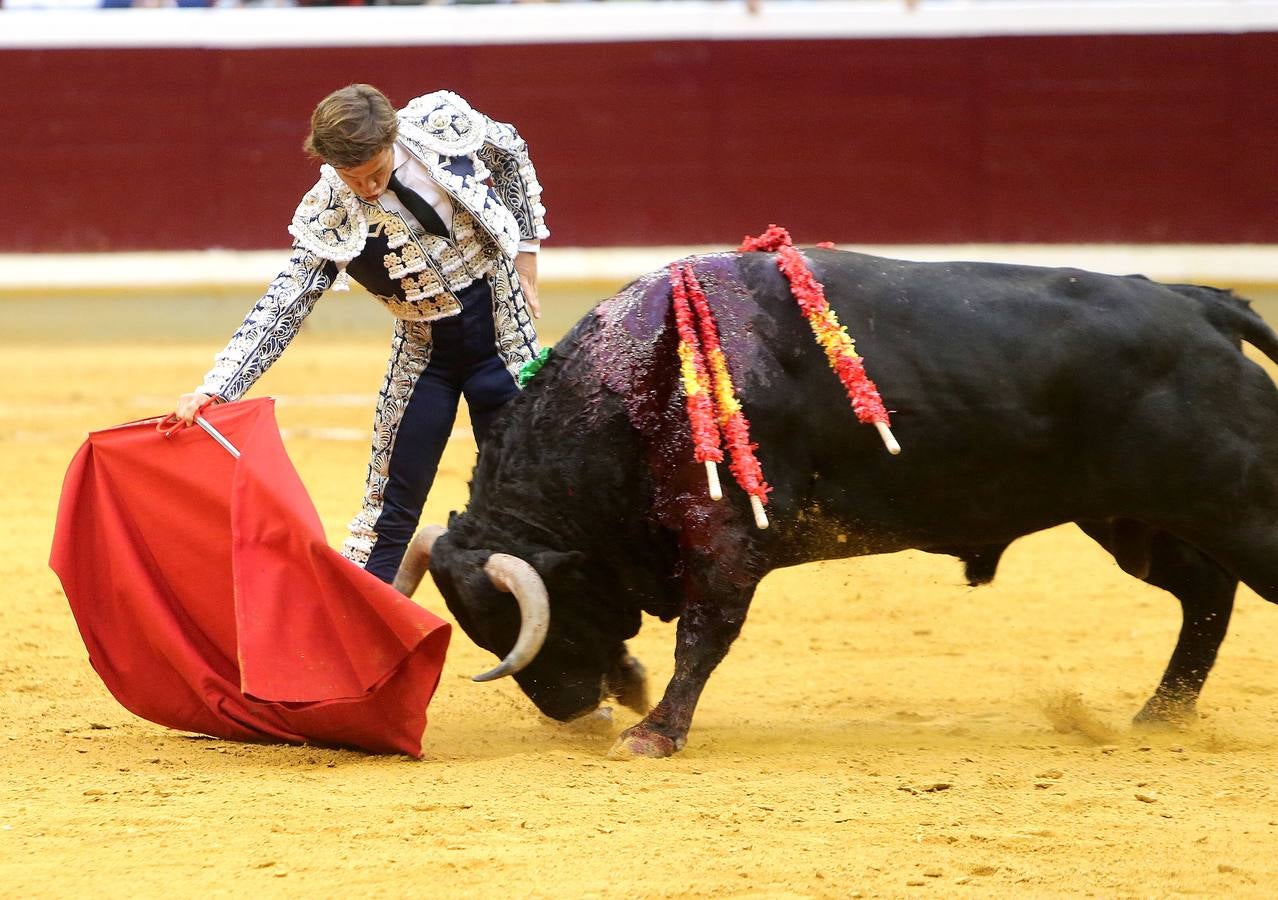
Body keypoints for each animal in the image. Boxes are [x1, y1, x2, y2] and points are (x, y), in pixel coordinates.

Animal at [393, 248, 1278, 756]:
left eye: (548, 621)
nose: (575, 717)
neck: (639, 385)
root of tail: (1200, 302)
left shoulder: (726, 541)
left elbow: (703, 640)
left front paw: (652, 735)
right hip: (1130, 521)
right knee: (1204, 592)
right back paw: (1159, 717)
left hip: (1236, 506)